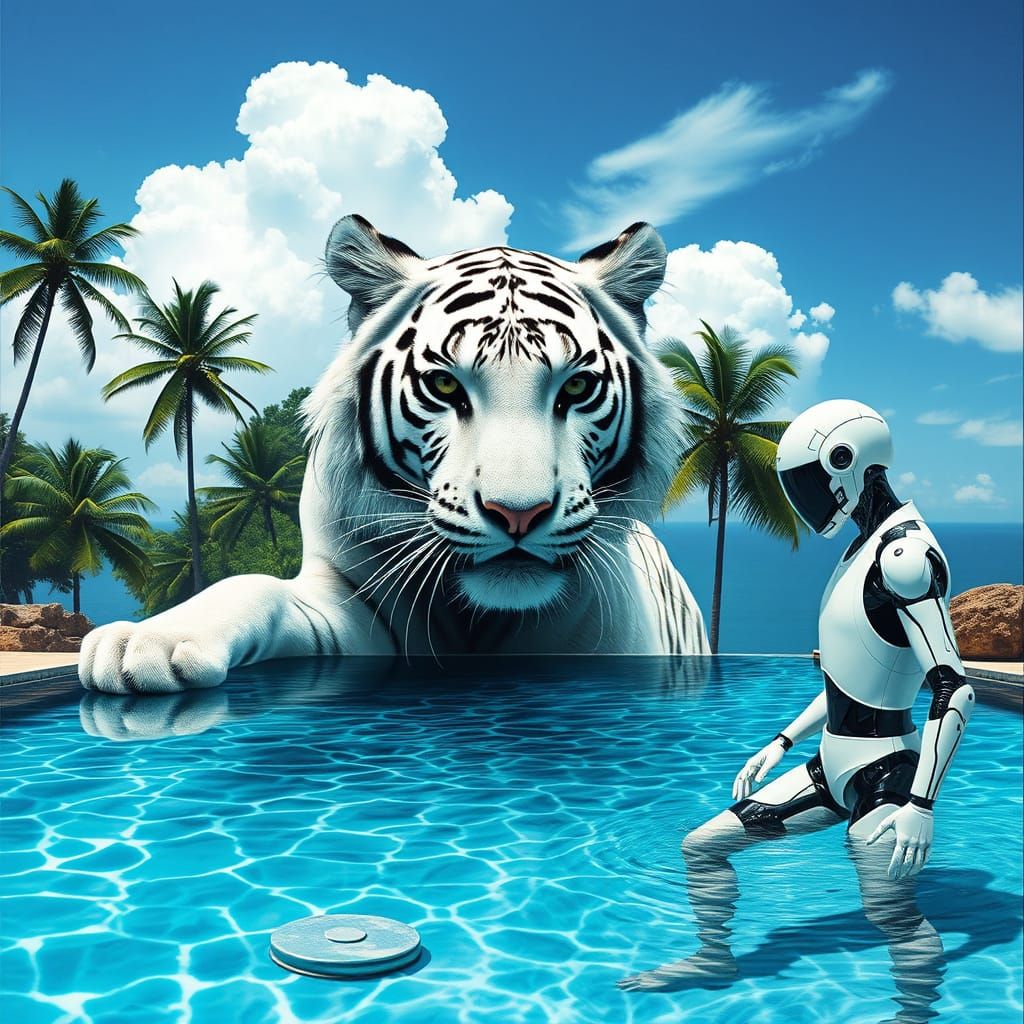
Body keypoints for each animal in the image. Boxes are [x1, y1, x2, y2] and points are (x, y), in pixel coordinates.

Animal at [80, 215, 709, 693]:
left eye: (576, 387)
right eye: (446, 386)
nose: (518, 515)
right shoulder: (345, 604)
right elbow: (252, 585)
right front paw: (145, 643)